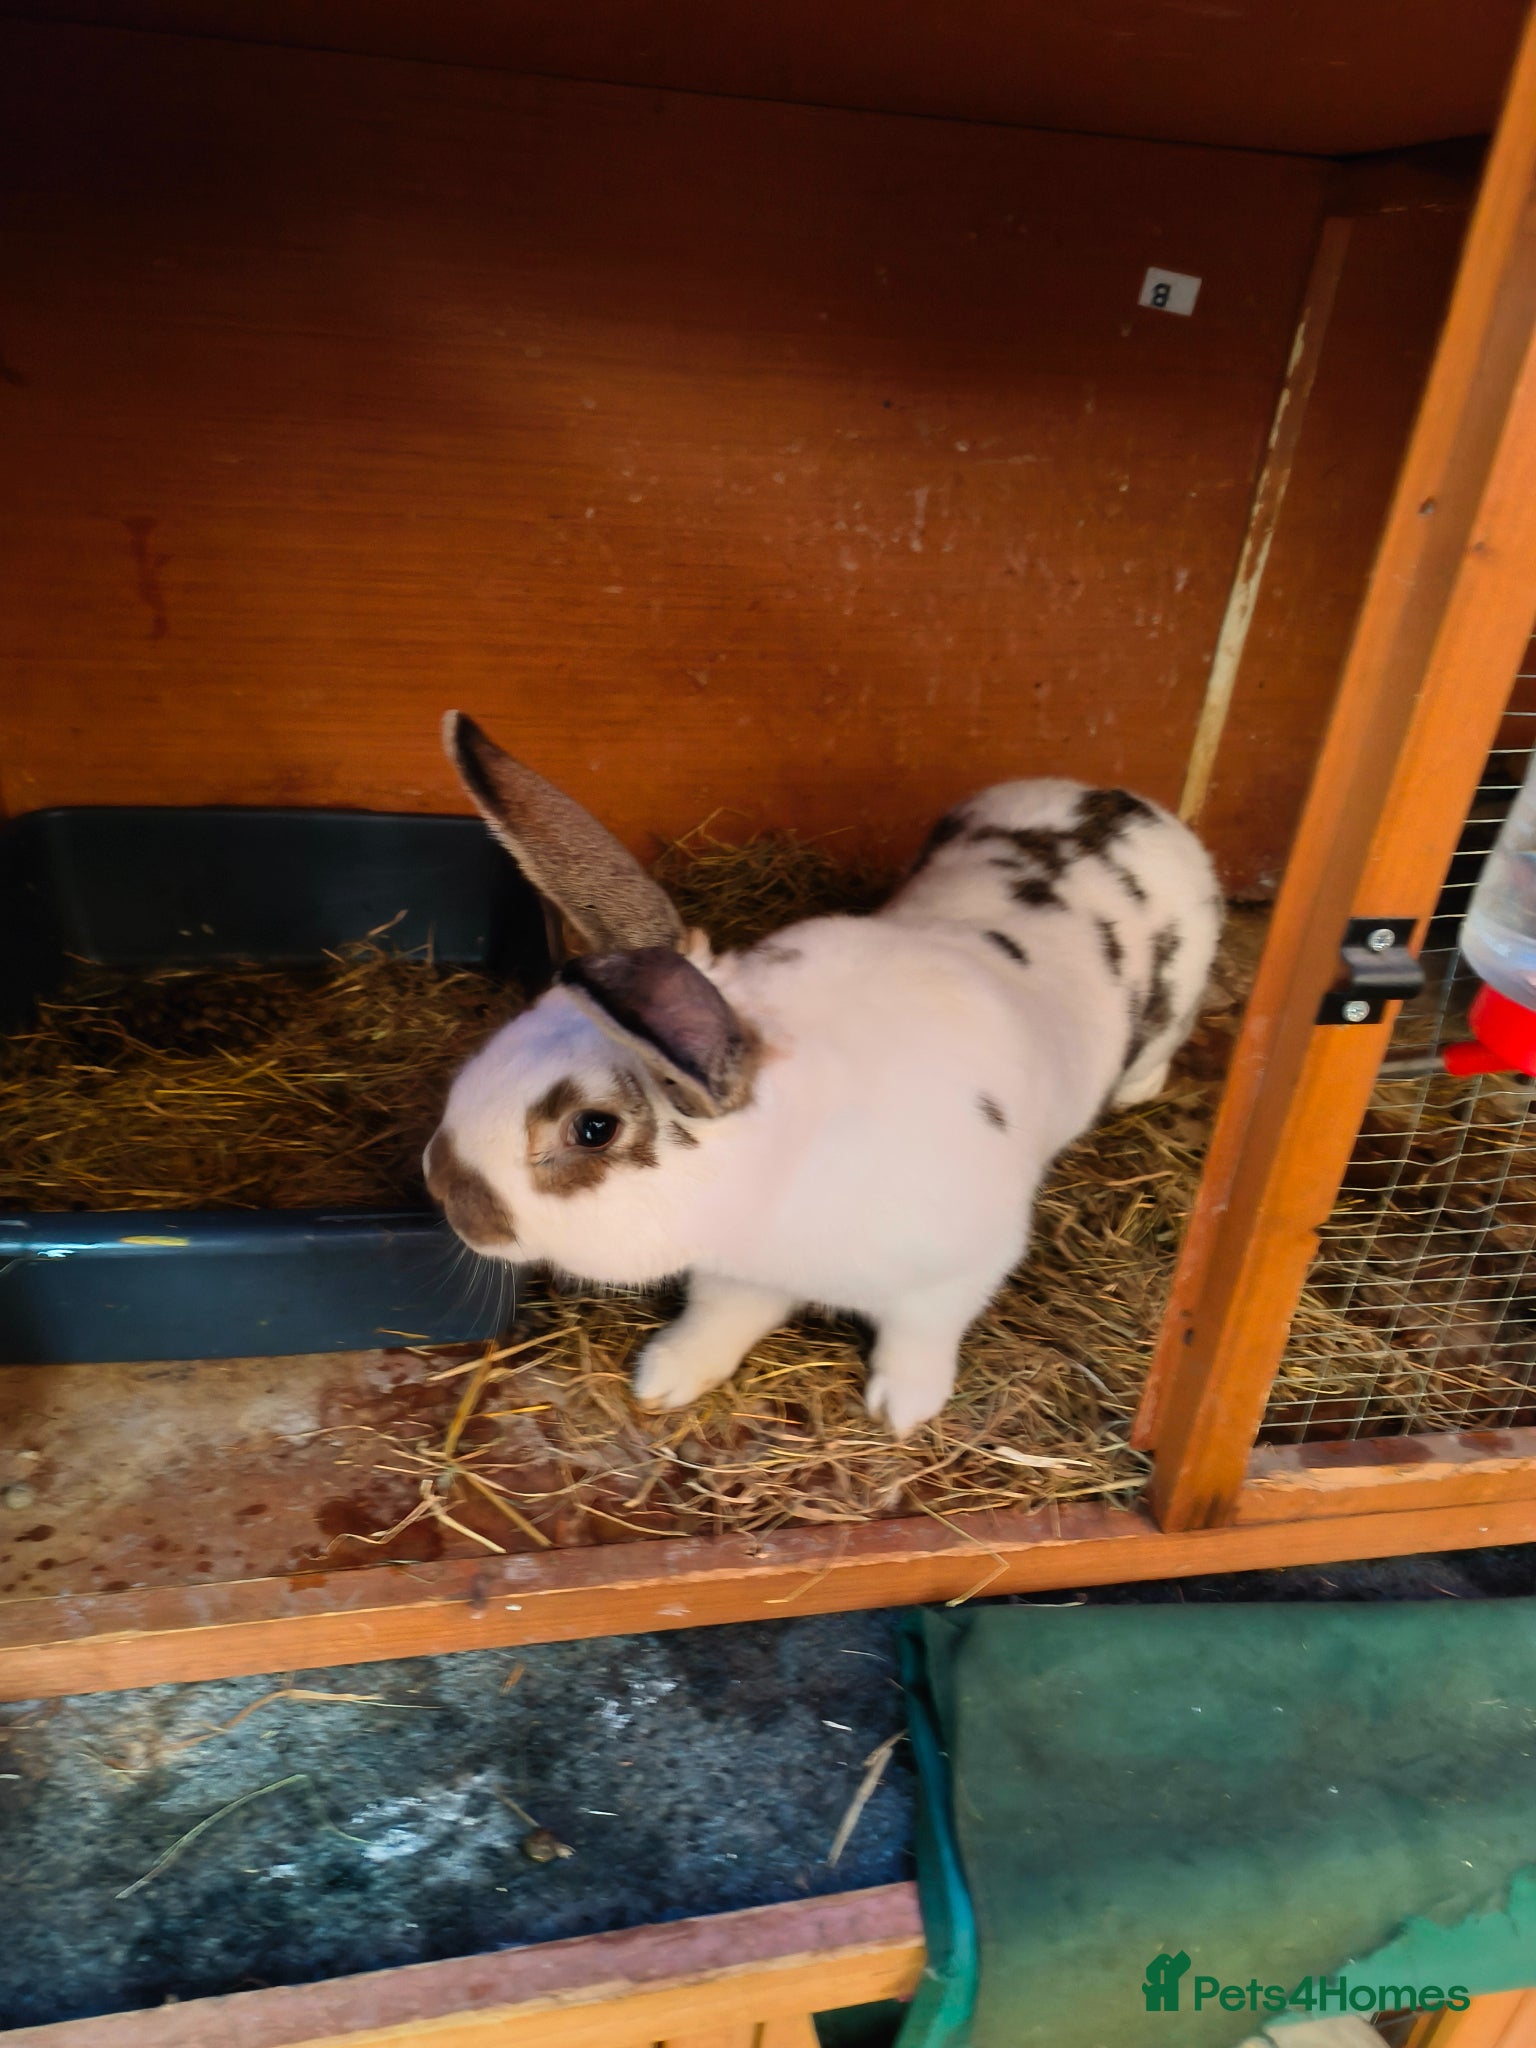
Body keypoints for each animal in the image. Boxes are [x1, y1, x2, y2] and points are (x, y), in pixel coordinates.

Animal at [426, 712, 1221, 1437]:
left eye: (593, 1128)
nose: (441, 1181)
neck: (786, 1171)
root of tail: (1124, 802)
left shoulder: (956, 1276)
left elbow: (919, 1339)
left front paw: (904, 1410)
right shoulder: (740, 1274)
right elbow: (720, 1318)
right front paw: (668, 1377)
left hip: (1174, 999)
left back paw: (1136, 1087)